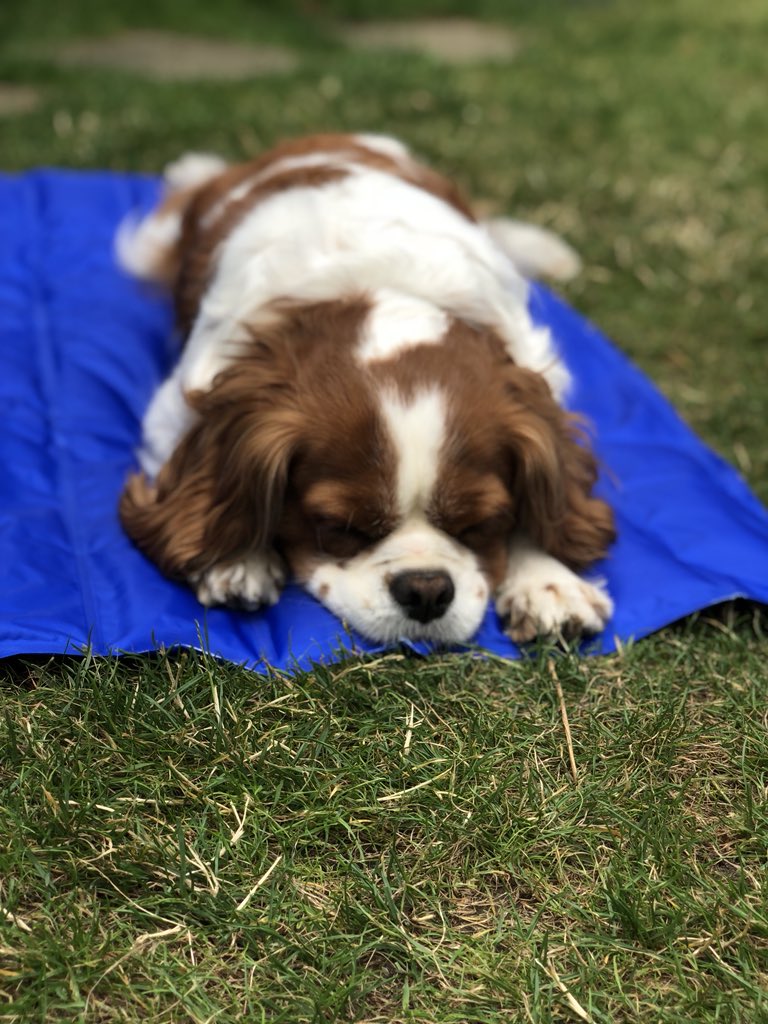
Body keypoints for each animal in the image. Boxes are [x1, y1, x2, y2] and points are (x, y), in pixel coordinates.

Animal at [117, 134, 618, 647]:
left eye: (478, 523)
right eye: (340, 526)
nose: (426, 589)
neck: (379, 292)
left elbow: (549, 496)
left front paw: (546, 578)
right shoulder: (179, 403)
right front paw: (238, 556)